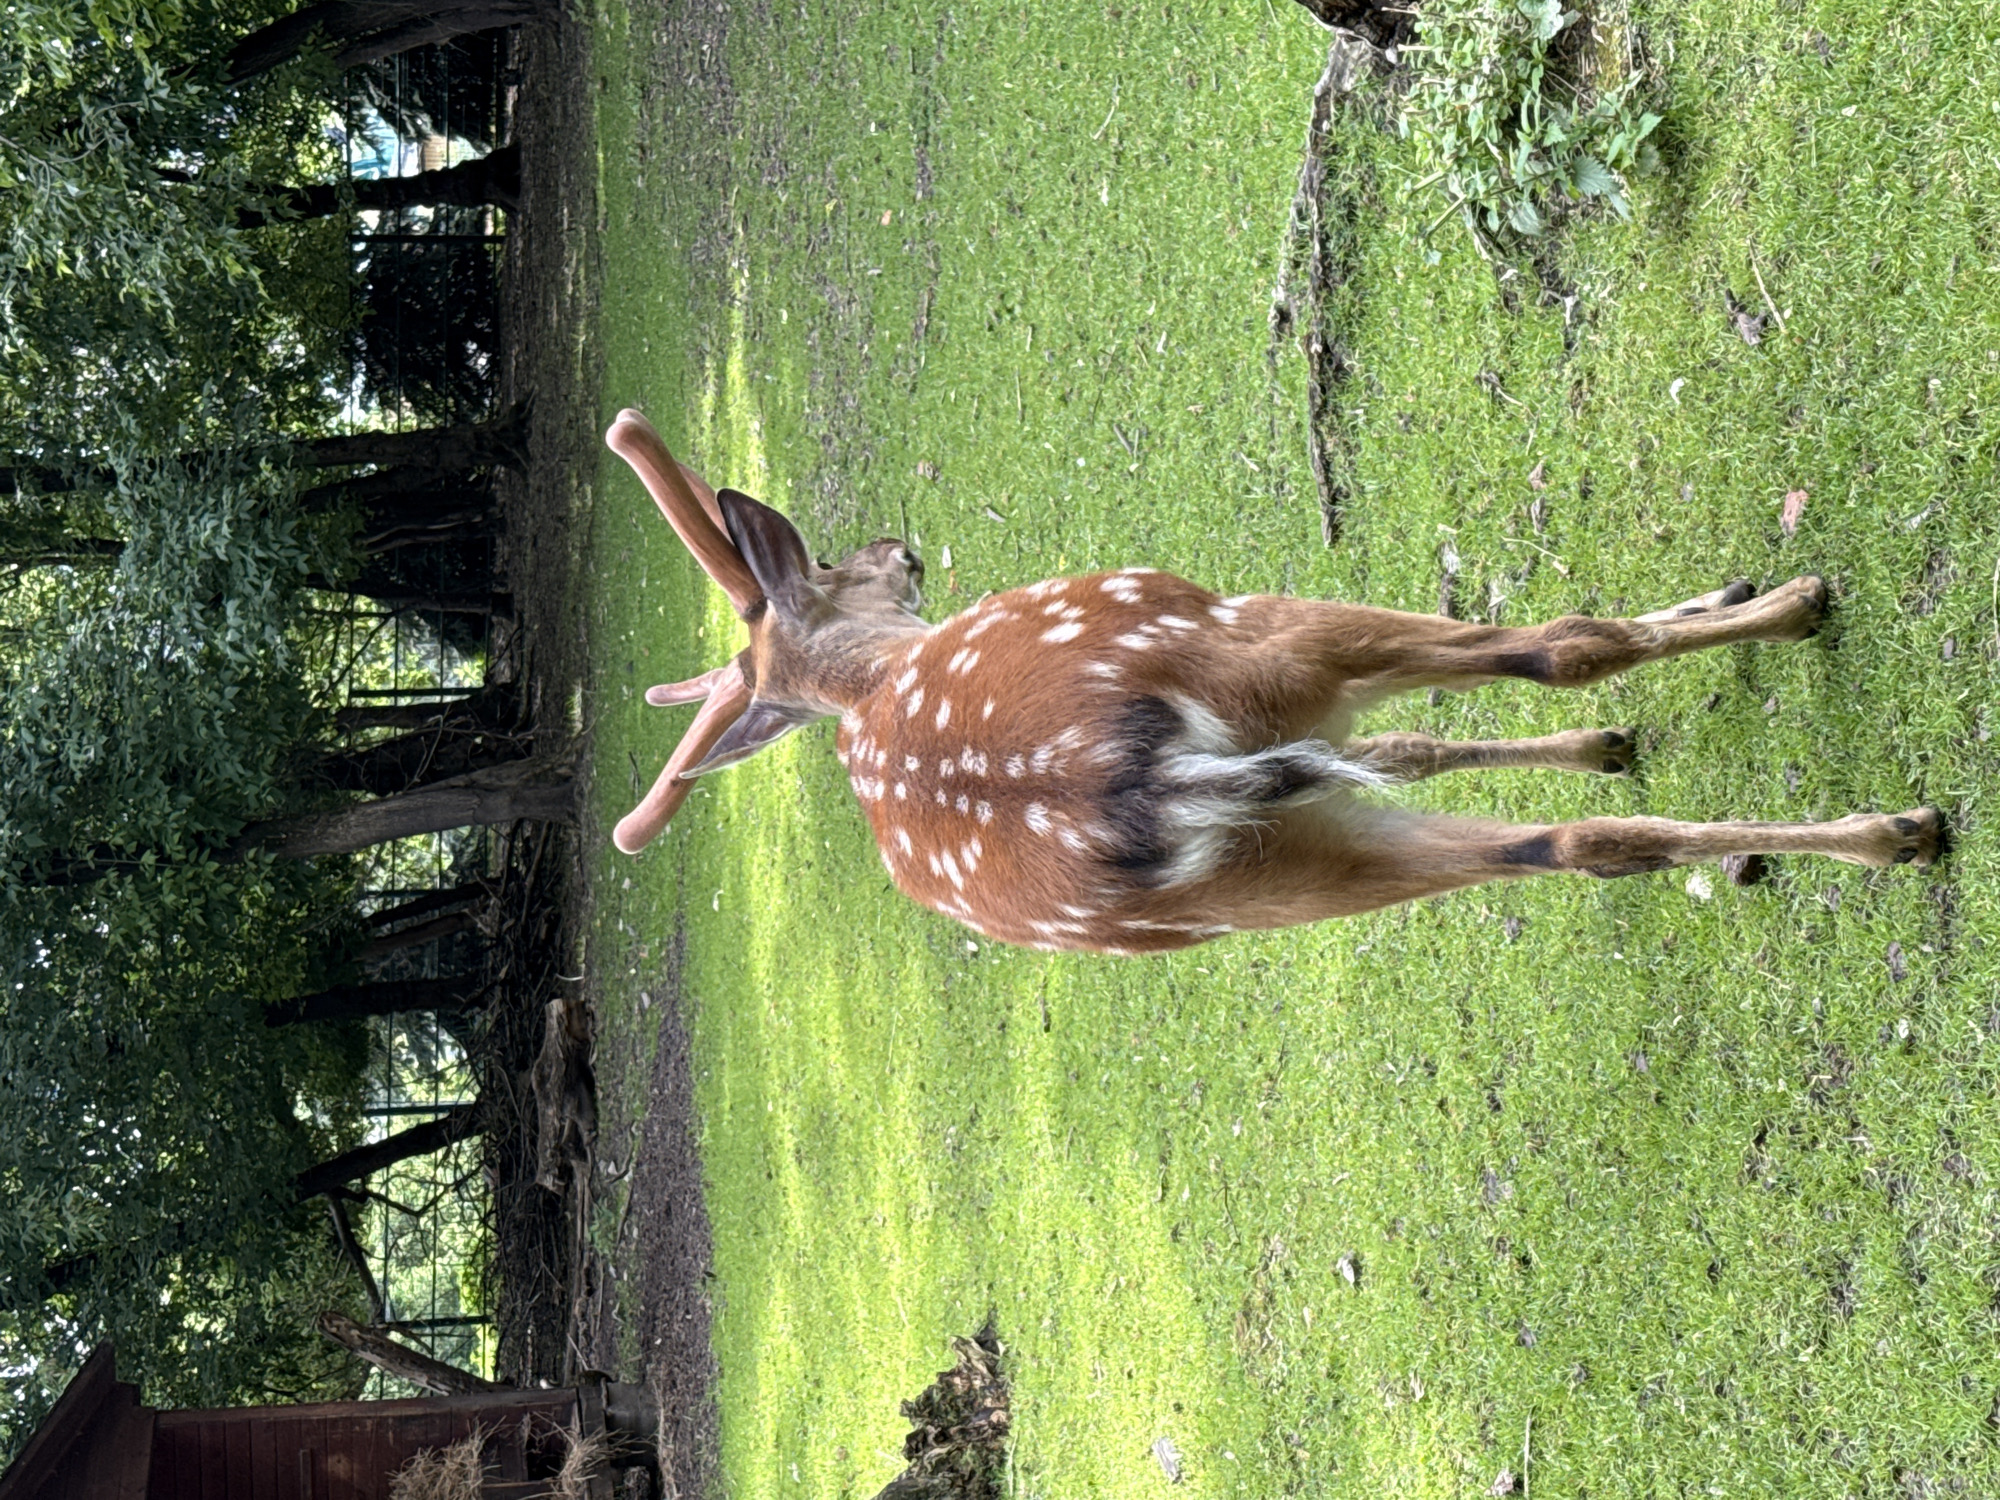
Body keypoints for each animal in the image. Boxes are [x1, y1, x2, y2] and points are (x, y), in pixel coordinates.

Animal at [603, 409, 1943, 956]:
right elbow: (1517, 672)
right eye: (832, 565)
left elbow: (1410, 747)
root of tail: (1130, 781)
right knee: (1556, 645)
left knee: (1563, 843)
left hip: (1273, 879)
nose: (895, 547)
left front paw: (1610, 738)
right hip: (1251, 637)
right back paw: (1882, 803)